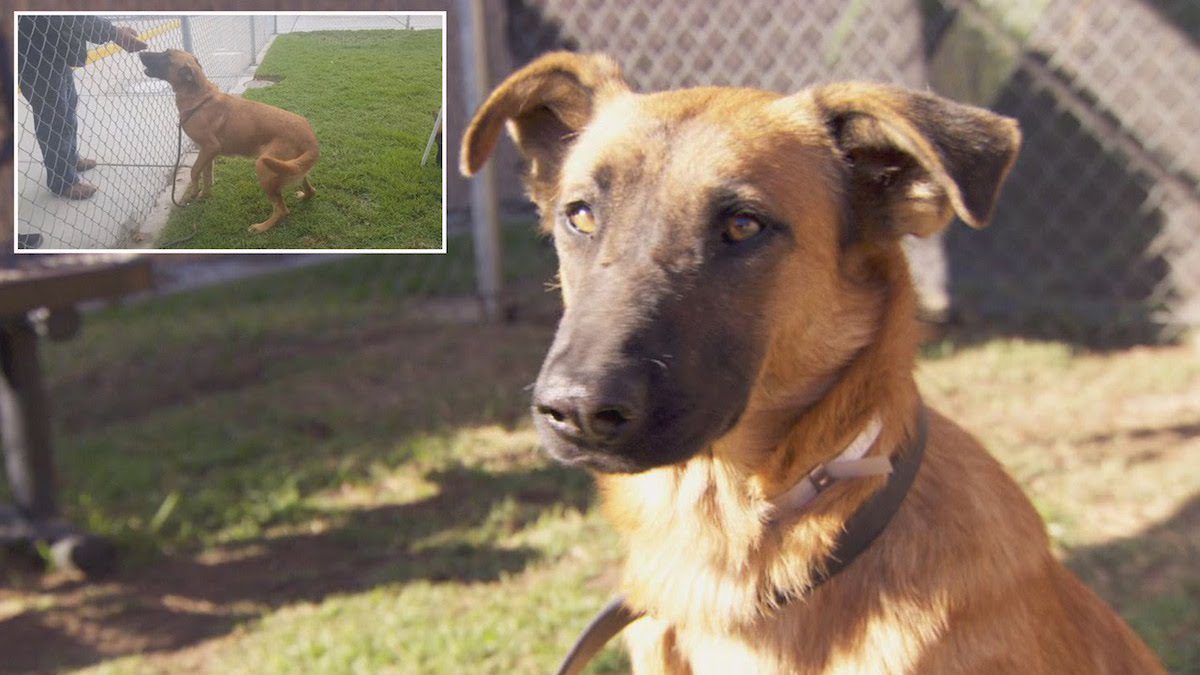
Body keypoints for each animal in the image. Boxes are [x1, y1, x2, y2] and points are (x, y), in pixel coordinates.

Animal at [139, 48, 319, 233]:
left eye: (166, 55)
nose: (141, 53)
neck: (199, 98)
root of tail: (310, 138)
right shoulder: (206, 152)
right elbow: (207, 175)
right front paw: (204, 195)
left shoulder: (210, 147)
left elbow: (194, 171)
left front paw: (194, 193)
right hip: (291, 166)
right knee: (309, 187)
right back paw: (305, 195)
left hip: (264, 167)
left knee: (282, 210)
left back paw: (262, 226)